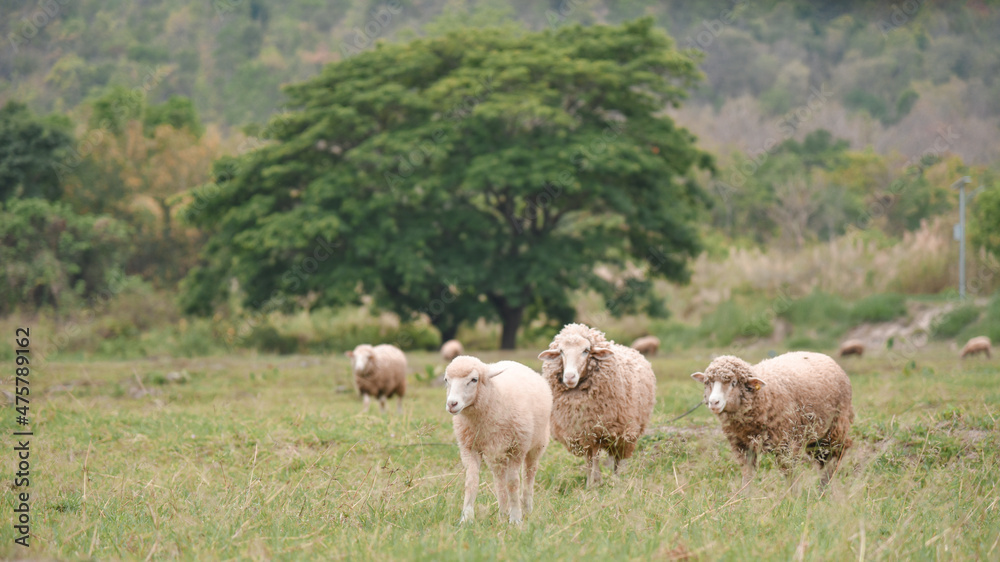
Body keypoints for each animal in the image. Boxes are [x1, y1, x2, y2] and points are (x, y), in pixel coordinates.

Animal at [444, 356, 552, 524]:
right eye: (446, 380)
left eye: (474, 379)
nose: (452, 404)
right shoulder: (469, 447)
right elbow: (471, 482)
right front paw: (466, 518)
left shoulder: (517, 448)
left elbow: (513, 483)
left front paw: (515, 518)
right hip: (495, 453)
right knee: (499, 481)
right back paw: (502, 513)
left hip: (536, 444)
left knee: (529, 475)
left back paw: (526, 509)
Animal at [538, 323, 657, 488]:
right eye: (561, 351)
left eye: (586, 350)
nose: (569, 377)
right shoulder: (582, 432)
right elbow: (589, 459)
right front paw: (591, 483)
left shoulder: (597, 430)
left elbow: (595, 458)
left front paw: (595, 483)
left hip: (625, 431)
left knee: (617, 457)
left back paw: (616, 479)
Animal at [690, 352, 854, 488]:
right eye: (707, 383)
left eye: (734, 383)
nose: (713, 402)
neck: (765, 395)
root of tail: (823, 356)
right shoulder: (742, 445)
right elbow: (747, 473)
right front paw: (744, 497)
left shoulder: (786, 444)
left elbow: (789, 473)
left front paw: (791, 497)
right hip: (815, 435)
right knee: (822, 460)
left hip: (835, 428)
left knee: (834, 456)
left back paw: (824, 489)